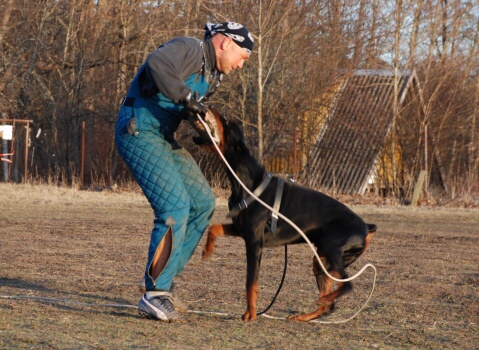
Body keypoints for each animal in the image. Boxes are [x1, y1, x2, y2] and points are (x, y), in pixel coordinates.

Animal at [193, 108, 376, 322]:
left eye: (227, 123)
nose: (210, 109)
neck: (245, 183)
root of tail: (365, 227)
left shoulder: (254, 243)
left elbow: (250, 283)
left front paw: (251, 314)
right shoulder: (242, 230)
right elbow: (214, 227)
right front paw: (207, 250)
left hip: (332, 249)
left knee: (347, 284)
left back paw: (322, 301)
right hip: (321, 260)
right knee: (329, 303)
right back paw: (306, 315)